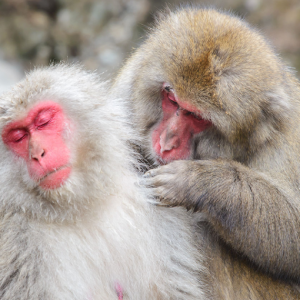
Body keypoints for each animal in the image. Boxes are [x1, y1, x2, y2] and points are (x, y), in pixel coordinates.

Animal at [0, 63, 209, 300]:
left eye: (43, 121)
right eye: (18, 136)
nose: (37, 154)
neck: (80, 205)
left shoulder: (159, 213)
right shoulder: (17, 238)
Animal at [110, 5, 300, 298]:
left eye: (196, 116)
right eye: (171, 98)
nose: (166, 141)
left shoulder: (285, 137)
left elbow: (294, 238)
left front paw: (195, 181)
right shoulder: (127, 90)